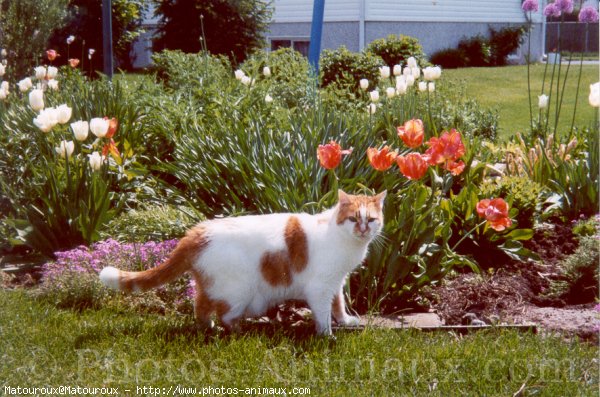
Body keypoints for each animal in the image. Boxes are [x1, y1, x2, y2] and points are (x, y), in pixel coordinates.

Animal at [99, 189, 386, 334]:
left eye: (371, 219)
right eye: (353, 218)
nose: (362, 229)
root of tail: (197, 231)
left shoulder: (335, 282)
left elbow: (338, 305)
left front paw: (345, 322)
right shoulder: (320, 288)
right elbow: (324, 314)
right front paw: (326, 336)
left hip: (213, 286)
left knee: (200, 307)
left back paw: (209, 329)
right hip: (238, 290)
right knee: (223, 314)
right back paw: (237, 331)